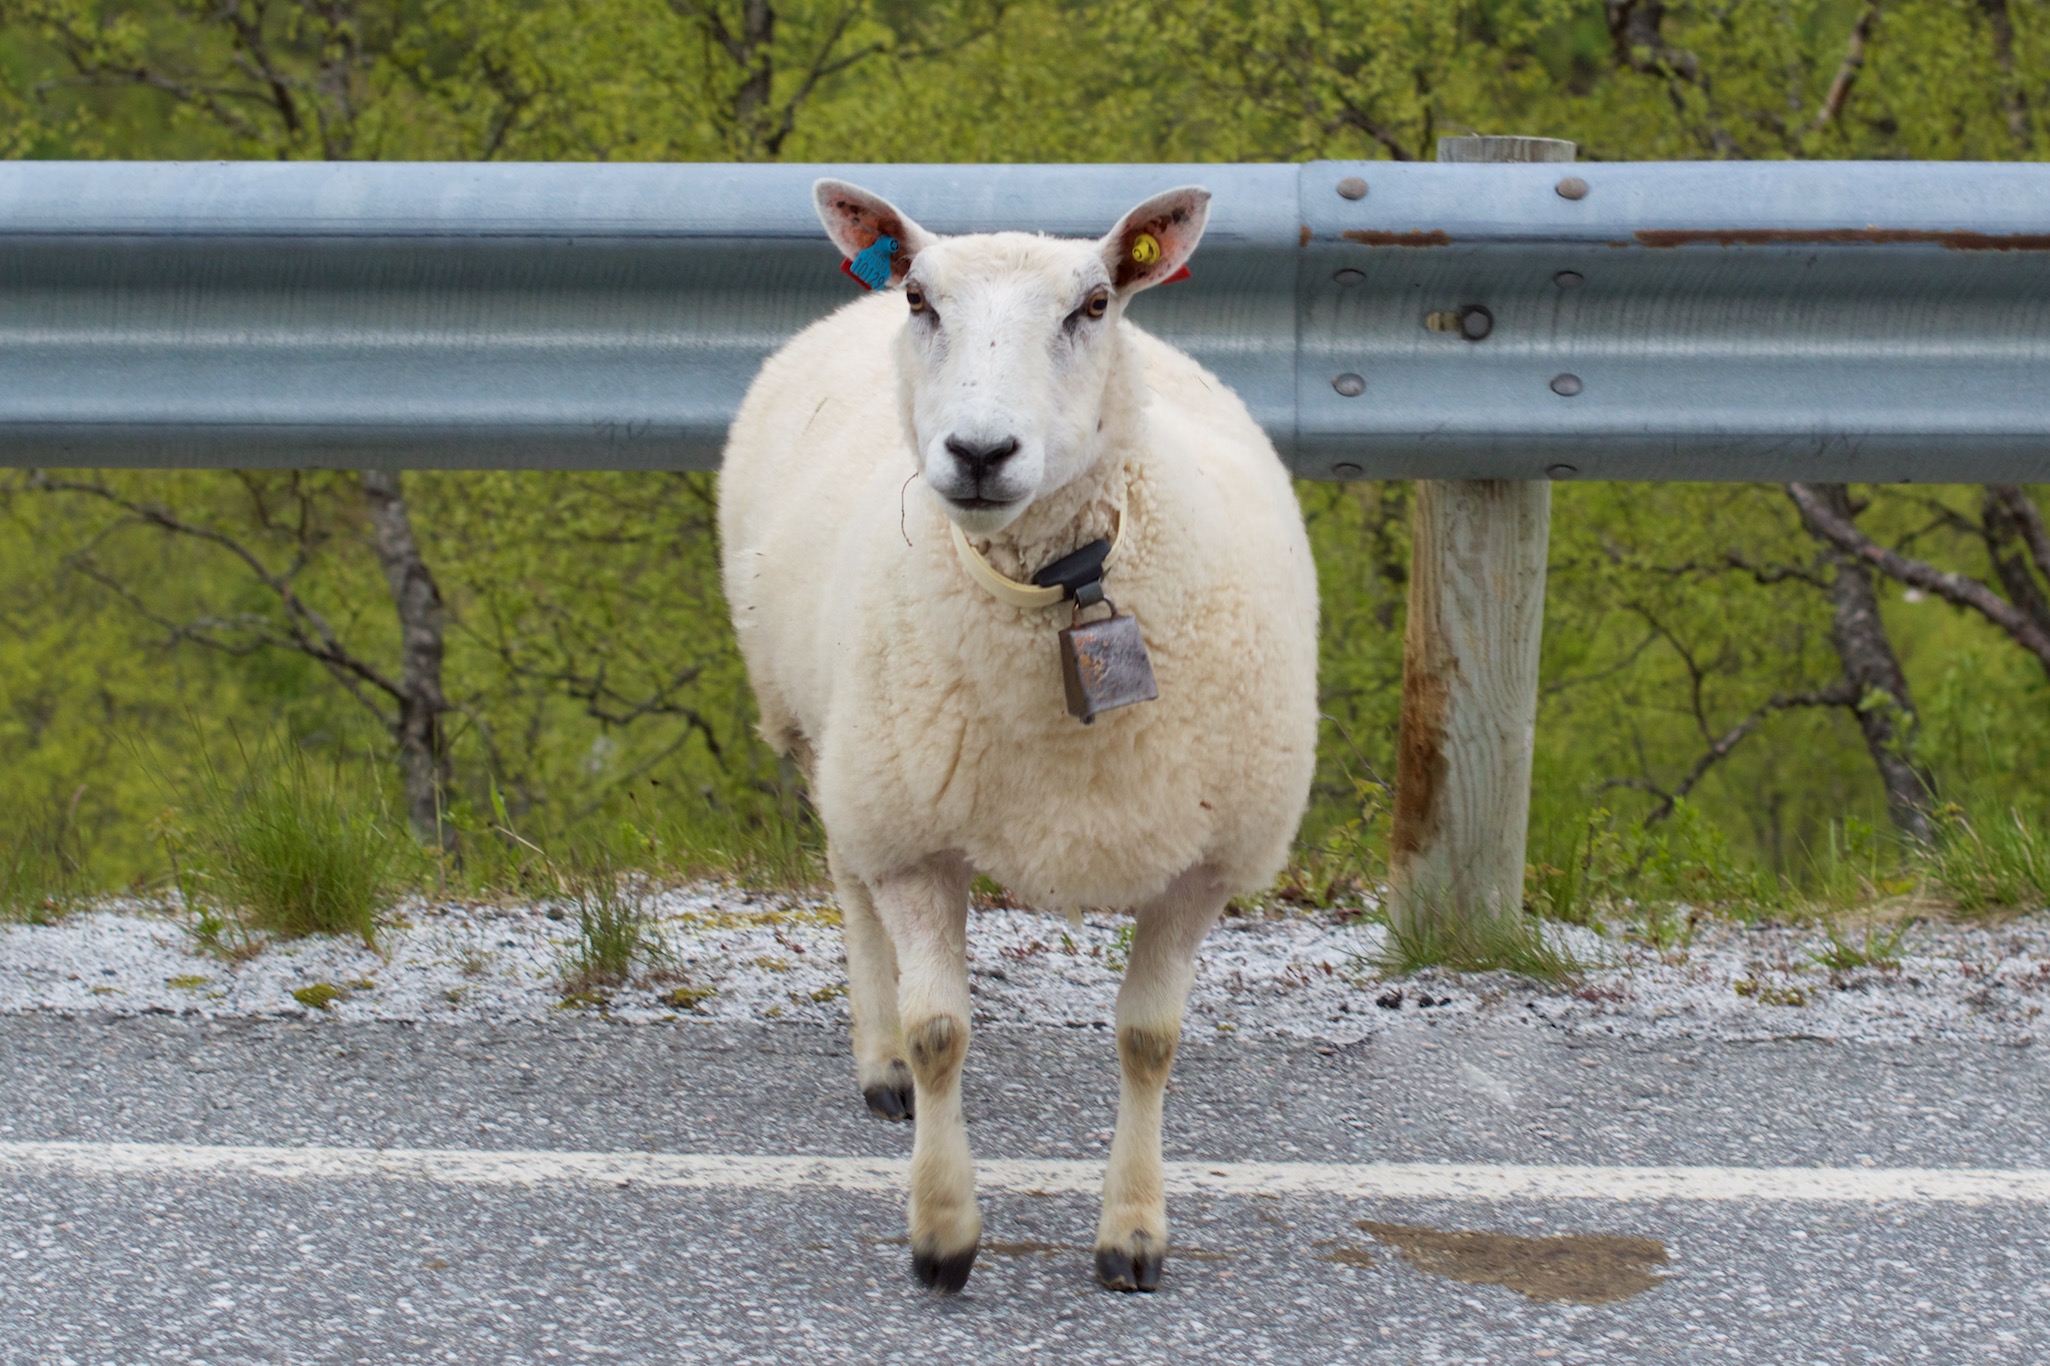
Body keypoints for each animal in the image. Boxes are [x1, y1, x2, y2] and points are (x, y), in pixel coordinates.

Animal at [721, 178, 1320, 1288]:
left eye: (1094, 304)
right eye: (922, 298)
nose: (978, 452)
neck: (1067, 592)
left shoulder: (1203, 858)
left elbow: (1149, 1041)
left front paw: (1133, 1230)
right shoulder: (913, 832)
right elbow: (941, 1032)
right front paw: (942, 1230)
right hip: (838, 744)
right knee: (849, 882)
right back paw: (877, 1062)